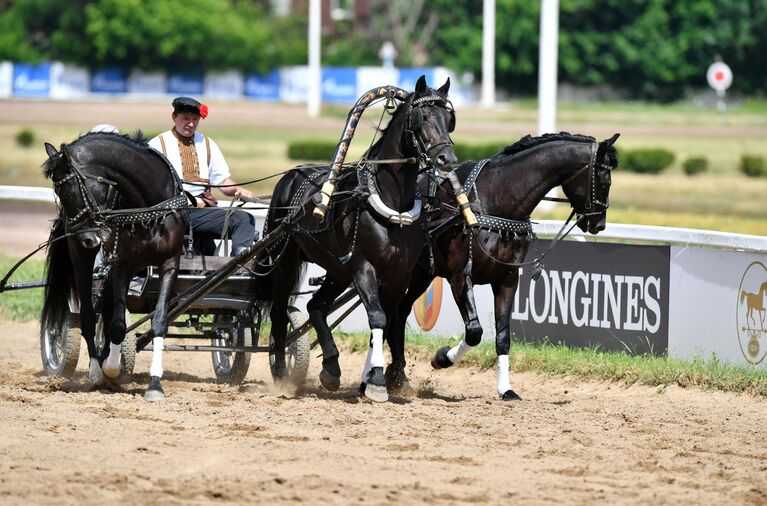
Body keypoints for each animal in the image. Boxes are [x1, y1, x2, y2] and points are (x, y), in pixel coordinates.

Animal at [42, 132, 188, 402]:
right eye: (59, 192)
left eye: (71, 189)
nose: (87, 238)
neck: (149, 208)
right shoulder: (122, 264)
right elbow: (118, 324)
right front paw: (110, 369)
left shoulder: (170, 263)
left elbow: (159, 321)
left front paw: (154, 384)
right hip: (83, 257)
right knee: (89, 315)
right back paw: (96, 371)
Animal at [260, 76, 460, 404]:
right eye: (422, 117)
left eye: (449, 119)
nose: (447, 160)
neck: (392, 202)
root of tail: (290, 176)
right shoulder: (364, 267)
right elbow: (378, 318)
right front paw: (377, 381)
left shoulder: (398, 275)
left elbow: (388, 322)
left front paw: (379, 379)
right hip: (286, 261)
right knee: (278, 312)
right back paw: (280, 373)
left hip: (338, 271)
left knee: (316, 306)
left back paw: (331, 367)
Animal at [388, 133, 620, 400]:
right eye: (604, 180)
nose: (599, 224)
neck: (491, 202)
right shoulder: (460, 277)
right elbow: (474, 332)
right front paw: (442, 357)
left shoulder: (507, 279)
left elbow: (503, 336)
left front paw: (505, 389)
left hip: (423, 273)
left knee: (400, 310)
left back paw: (396, 373)